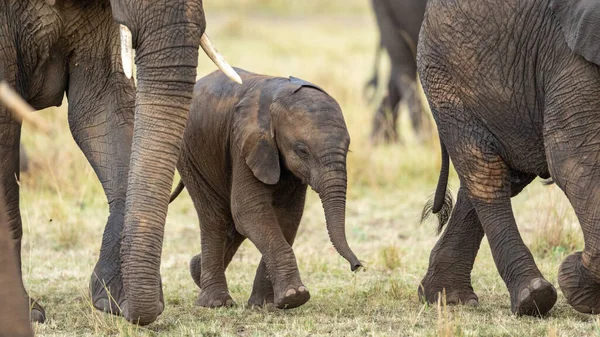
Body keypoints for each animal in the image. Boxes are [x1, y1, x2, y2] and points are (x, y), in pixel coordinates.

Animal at [171, 67, 364, 308]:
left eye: (348, 150)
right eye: (302, 151)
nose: (357, 266)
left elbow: (287, 217)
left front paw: (267, 305)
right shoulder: (245, 144)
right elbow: (250, 211)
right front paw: (295, 297)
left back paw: (196, 272)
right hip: (190, 152)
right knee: (215, 217)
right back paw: (216, 302)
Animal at [418, 0, 600, 318]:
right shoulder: (572, 56)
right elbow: (572, 157)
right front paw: (577, 284)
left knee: (500, 176)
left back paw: (446, 298)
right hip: (447, 72)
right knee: (485, 172)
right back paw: (533, 298)